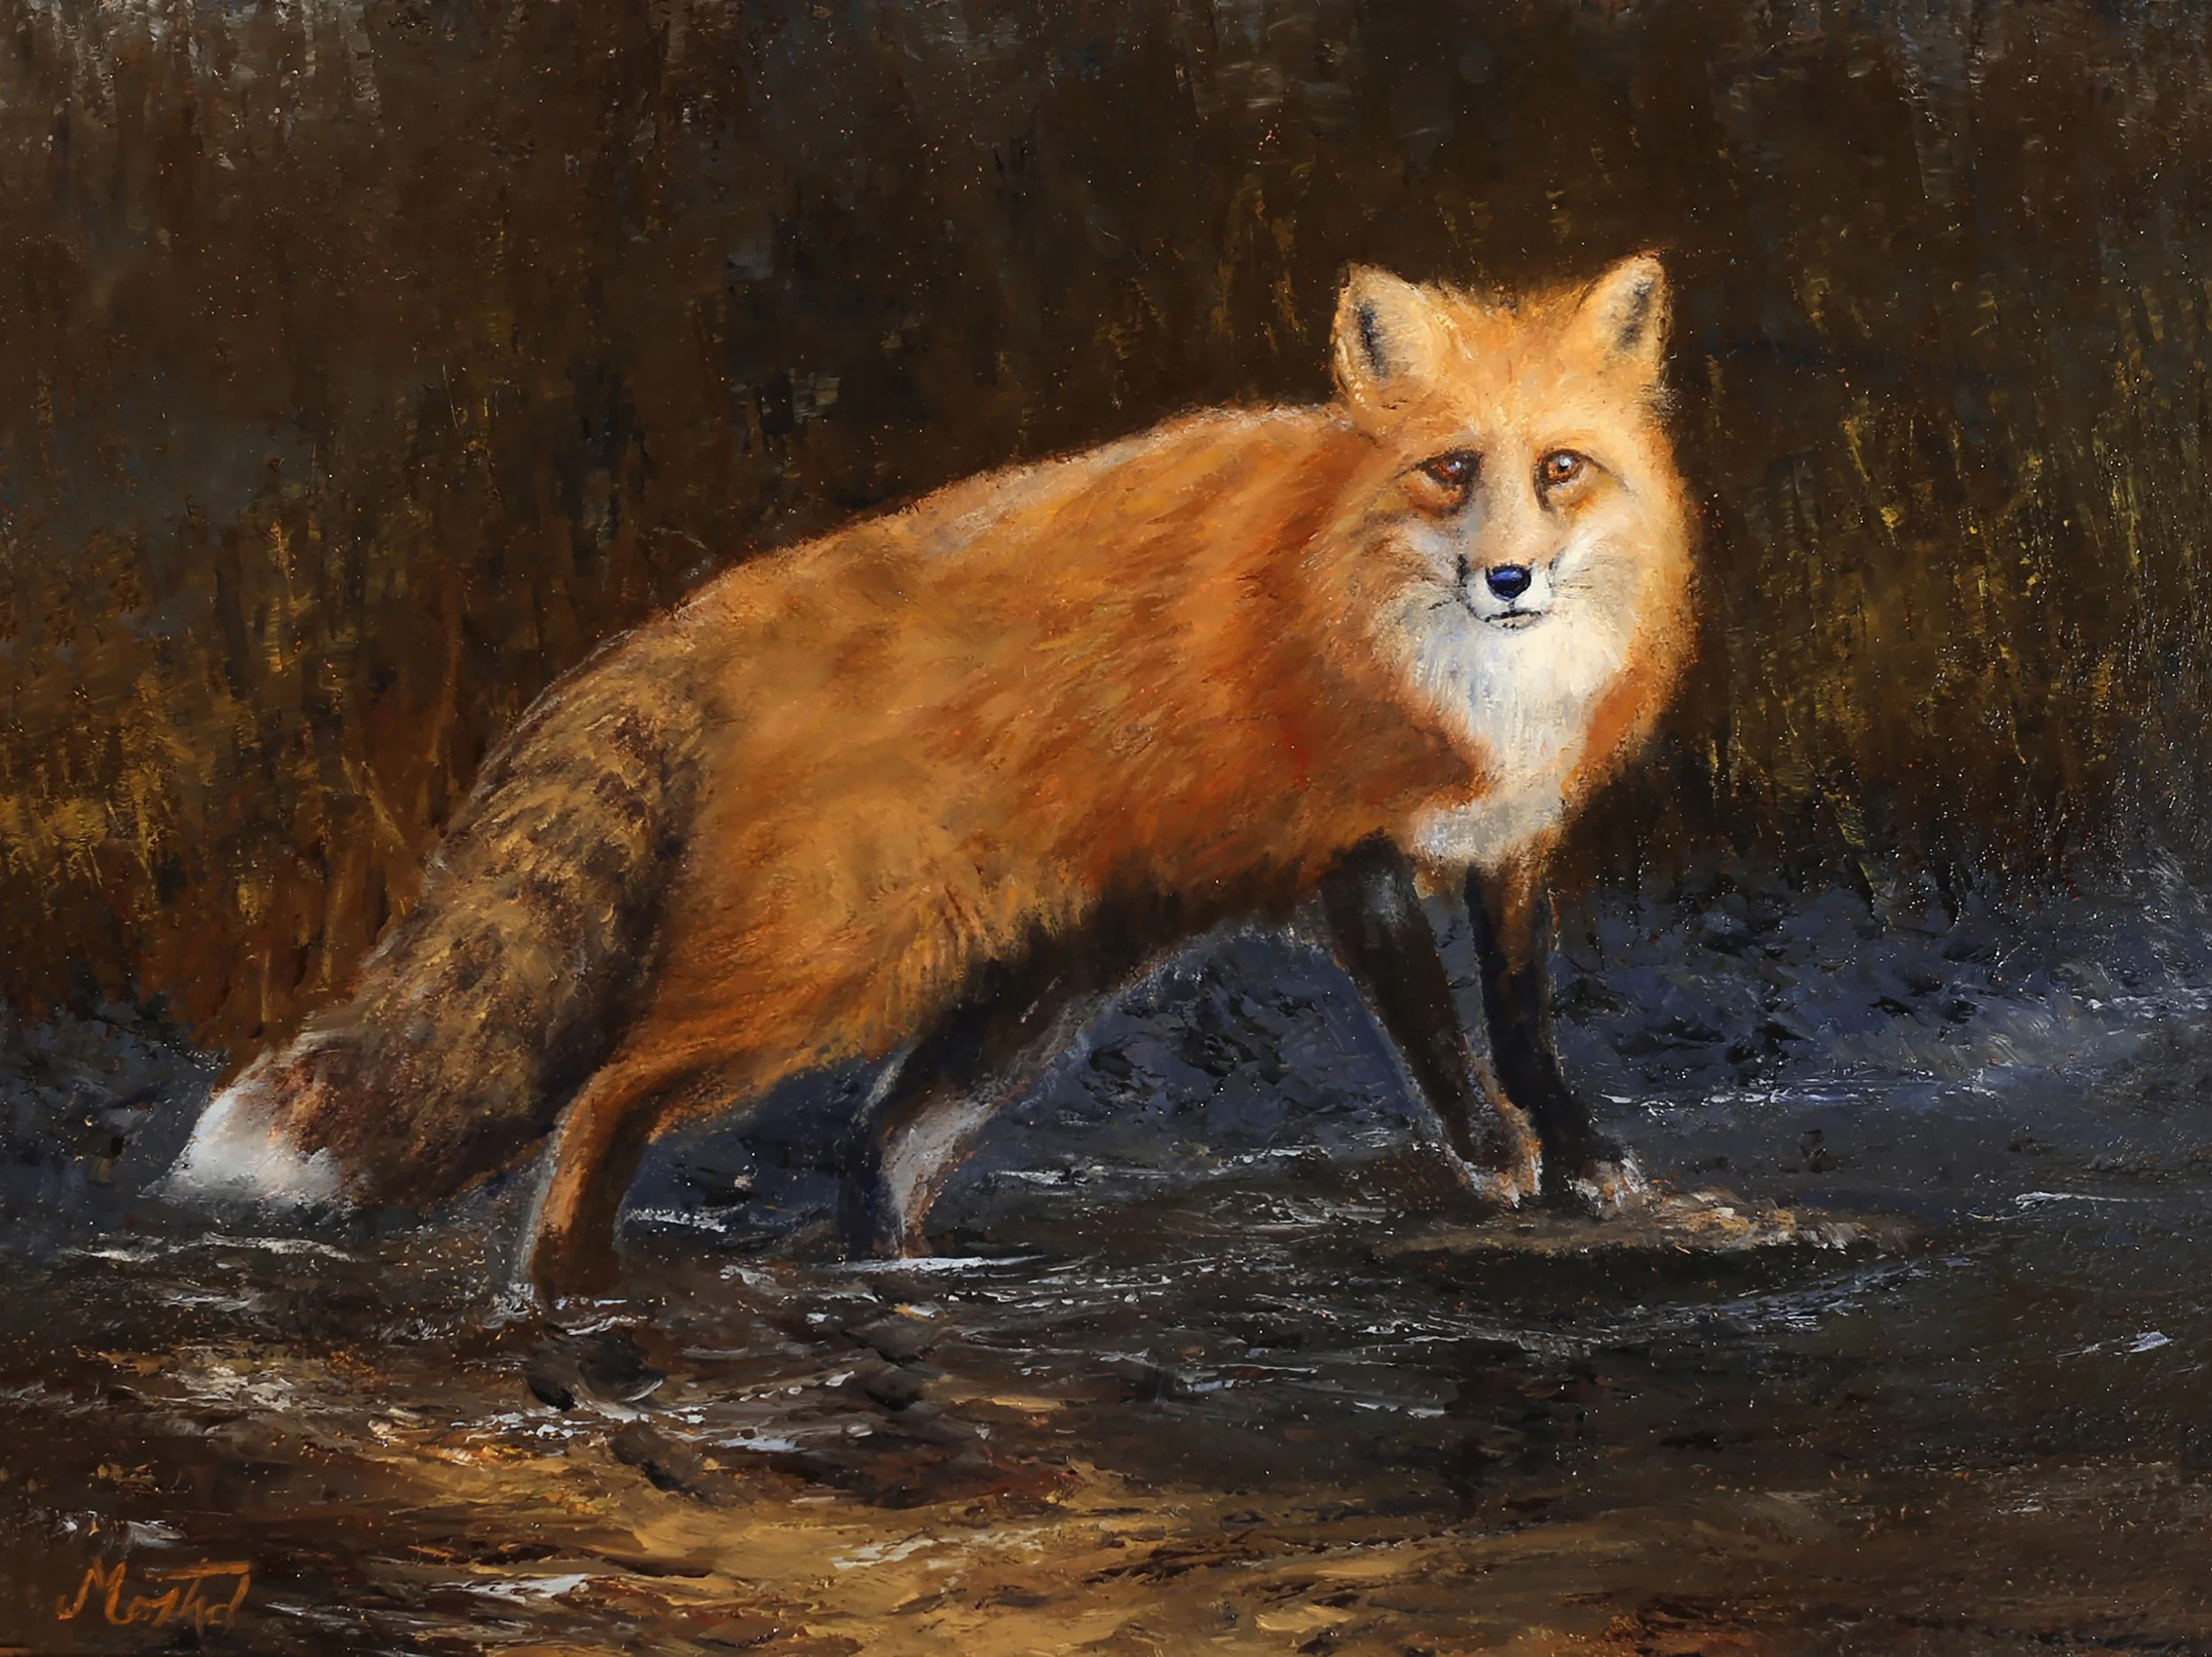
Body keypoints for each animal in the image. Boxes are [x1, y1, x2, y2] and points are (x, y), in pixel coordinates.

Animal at [167, 254, 1697, 1300]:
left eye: (1563, 468)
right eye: (1451, 470)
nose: (1510, 577)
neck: (1453, 674)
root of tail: (708, 614)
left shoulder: (1513, 850)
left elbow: (1525, 1020)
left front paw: (1578, 1155)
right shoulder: (1348, 854)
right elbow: (1438, 1030)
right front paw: (1494, 1153)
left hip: (1013, 1001)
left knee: (876, 1152)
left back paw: (894, 1294)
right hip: (824, 978)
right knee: (607, 1100)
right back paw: (571, 1305)